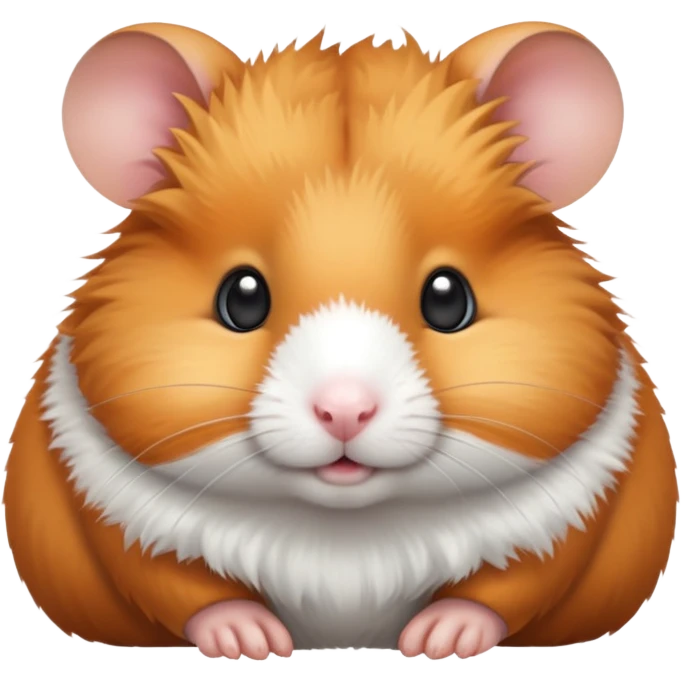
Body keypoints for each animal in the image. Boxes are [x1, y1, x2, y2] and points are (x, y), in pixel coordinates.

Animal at [3, 21, 678, 661]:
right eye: (241, 297)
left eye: (448, 298)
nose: (345, 412)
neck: (346, 536)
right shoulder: (115, 518)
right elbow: (180, 584)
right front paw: (252, 642)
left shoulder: (571, 521)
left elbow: (511, 584)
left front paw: (437, 641)